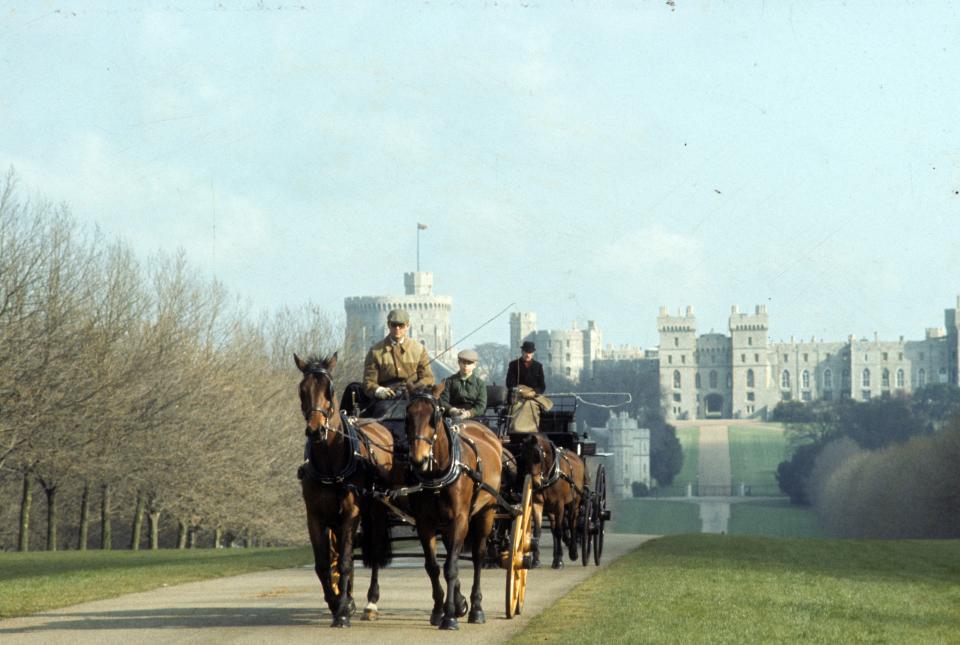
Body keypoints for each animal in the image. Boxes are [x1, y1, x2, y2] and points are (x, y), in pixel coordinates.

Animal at [294, 354, 396, 628]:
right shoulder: (315, 516)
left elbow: (347, 561)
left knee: (373, 550)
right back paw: (349, 598)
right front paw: (337, 603)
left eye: (329, 390)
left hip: (375, 512)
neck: (330, 461)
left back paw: (371, 602)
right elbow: (324, 564)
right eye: (302, 389)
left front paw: (341, 611)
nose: (316, 430)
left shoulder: (352, 512)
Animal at [400, 382, 502, 628]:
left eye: (434, 416)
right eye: (407, 415)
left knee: (478, 557)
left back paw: (476, 608)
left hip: (486, 512)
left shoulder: (460, 519)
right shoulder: (425, 523)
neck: (437, 474)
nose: (419, 460)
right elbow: (433, 566)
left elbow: (451, 567)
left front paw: (450, 616)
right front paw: (439, 610)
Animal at [520, 432, 588, 568]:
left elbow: (559, 530)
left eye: (537, 456)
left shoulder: (559, 504)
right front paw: (536, 560)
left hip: (574, 502)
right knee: (553, 527)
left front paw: (560, 560)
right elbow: (537, 531)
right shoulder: (537, 503)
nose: (534, 484)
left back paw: (573, 552)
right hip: (551, 509)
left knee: (572, 523)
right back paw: (555, 556)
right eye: (524, 457)